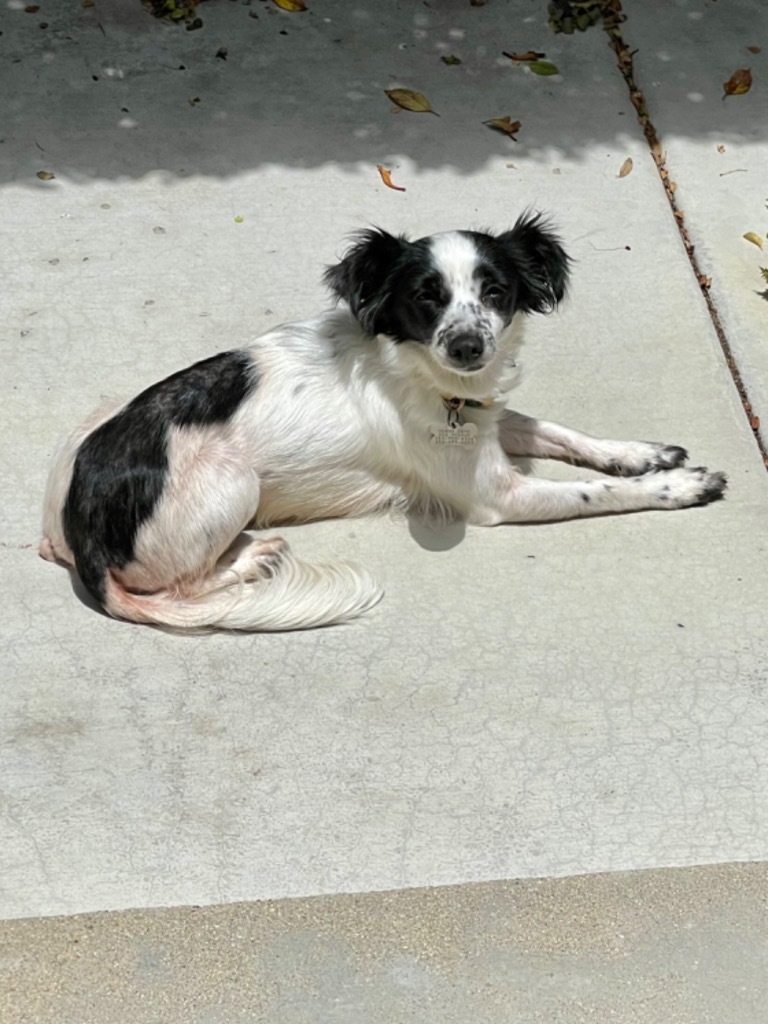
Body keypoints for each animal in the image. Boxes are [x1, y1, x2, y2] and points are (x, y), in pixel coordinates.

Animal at [40, 219, 729, 626]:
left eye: (496, 291)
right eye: (426, 296)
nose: (468, 346)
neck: (425, 377)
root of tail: (78, 539)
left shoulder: (484, 418)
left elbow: (559, 431)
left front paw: (639, 452)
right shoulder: (496, 494)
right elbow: (597, 493)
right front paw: (677, 486)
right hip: (236, 484)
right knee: (181, 590)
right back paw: (250, 558)